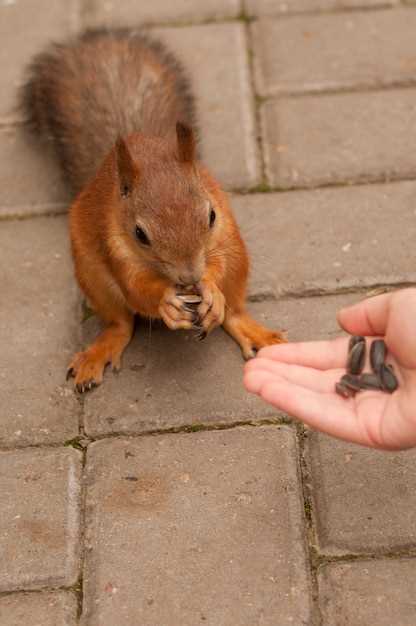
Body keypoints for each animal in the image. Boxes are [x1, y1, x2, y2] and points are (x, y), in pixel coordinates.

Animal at [21, 29, 284, 392]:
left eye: (211, 215)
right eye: (140, 234)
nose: (189, 277)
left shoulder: (223, 234)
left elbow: (217, 270)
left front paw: (210, 290)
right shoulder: (116, 249)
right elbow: (137, 288)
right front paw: (166, 303)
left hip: (238, 258)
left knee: (234, 311)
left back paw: (251, 329)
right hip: (93, 277)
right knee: (120, 323)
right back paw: (99, 352)